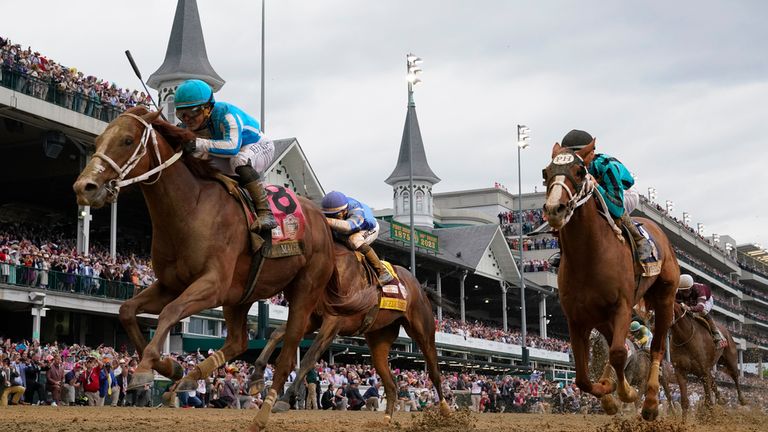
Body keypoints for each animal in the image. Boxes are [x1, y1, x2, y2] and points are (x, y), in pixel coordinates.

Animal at [73, 106, 340, 430]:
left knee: (289, 352)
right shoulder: (170, 284)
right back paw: (192, 378)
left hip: (304, 290)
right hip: (242, 296)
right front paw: (171, 368)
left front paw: (147, 367)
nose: (84, 187)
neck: (192, 208)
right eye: (98, 140)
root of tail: (323, 221)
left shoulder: (212, 284)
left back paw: (265, 410)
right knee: (239, 340)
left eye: (126, 140)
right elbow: (126, 311)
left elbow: (171, 312)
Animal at [249, 243, 450, 422]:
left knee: (434, 372)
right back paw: (386, 418)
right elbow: (276, 333)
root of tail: (420, 288)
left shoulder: (333, 320)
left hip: (423, 331)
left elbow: (309, 357)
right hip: (379, 337)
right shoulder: (313, 318)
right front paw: (257, 377)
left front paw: (284, 399)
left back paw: (446, 411)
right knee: (391, 383)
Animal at [540, 141, 680, 418]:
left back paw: (650, 403)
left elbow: (617, 353)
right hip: (602, 317)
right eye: (545, 173)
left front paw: (627, 394)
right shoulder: (577, 318)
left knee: (657, 347)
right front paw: (608, 393)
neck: (588, 257)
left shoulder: (622, 306)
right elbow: (583, 378)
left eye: (580, 172)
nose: (554, 209)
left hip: (665, 298)